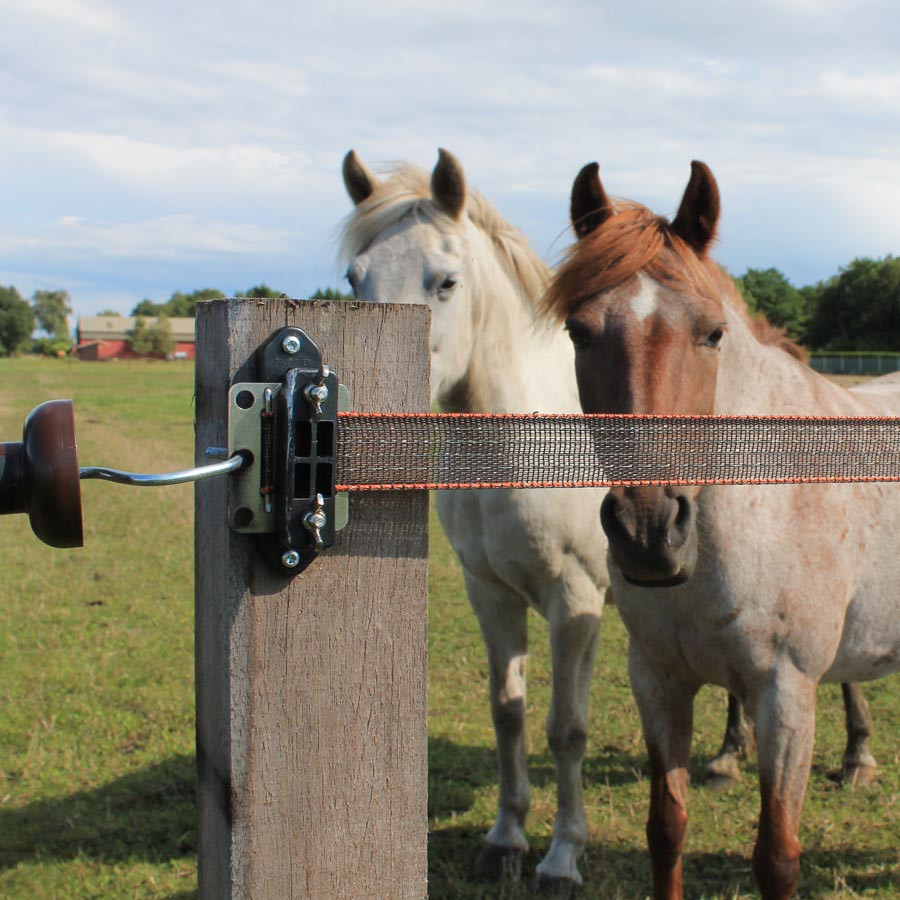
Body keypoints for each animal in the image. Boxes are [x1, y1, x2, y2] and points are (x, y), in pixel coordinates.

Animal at [544, 159, 900, 900]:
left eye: (712, 333)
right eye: (579, 332)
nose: (648, 530)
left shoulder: (785, 694)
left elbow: (777, 856)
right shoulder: (658, 681)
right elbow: (666, 829)